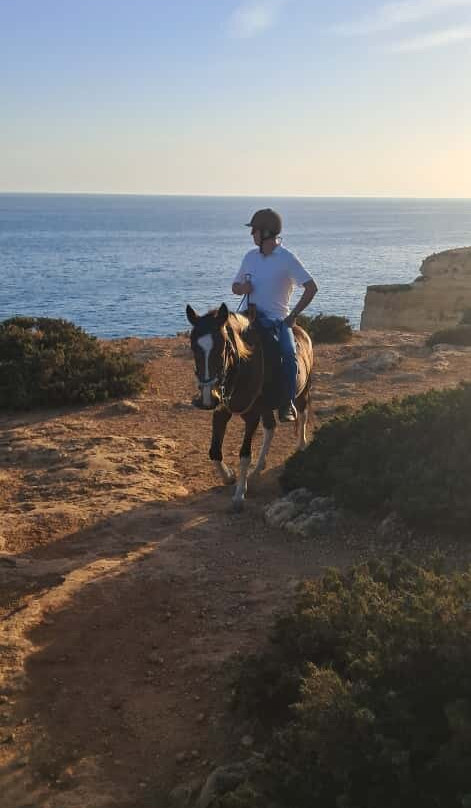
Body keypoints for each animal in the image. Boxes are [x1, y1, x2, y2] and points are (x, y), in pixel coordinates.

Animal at [186, 302, 314, 510]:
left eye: (223, 346)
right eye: (193, 347)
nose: (207, 398)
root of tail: (302, 332)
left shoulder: (252, 416)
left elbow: (245, 455)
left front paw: (239, 495)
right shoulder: (221, 412)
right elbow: (214, 451)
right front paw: (229, 477)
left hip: (302, 392)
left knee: (302, 415)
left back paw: (301, 446)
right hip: (266, 407)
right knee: (270, 428)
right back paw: (258, 469)